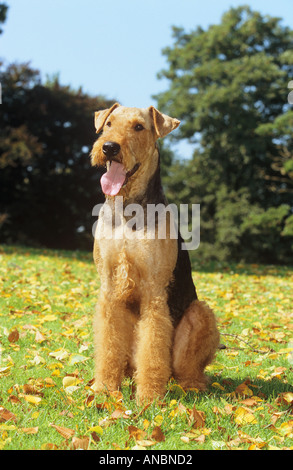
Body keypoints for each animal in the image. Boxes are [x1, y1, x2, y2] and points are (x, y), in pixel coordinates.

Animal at [90, 104, 218, 402]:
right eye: (108, 124)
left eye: (139, 127)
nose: (109, 147)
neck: (127, 208)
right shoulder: (109, 286)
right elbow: (108, 344)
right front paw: (104, 388)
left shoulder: (154, 291)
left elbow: (153, 347)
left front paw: (148, 396)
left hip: (200, 314)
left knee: (188, 368)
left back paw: (191, 384)